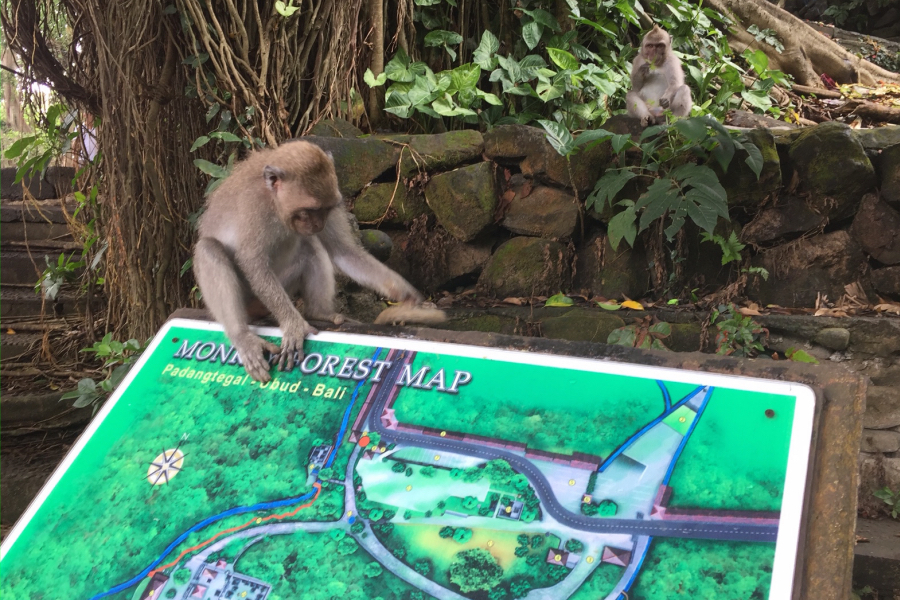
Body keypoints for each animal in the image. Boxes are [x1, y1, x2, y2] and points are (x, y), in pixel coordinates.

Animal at [193, 140, 445, 383]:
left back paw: (317, 312)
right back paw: (242, 336)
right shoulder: (254, 207)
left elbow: (343, 251)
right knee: (209, 249)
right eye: (309, 210)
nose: (318, 224)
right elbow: (252, 263)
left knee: (310, 245)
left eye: (326, 209)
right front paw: (292, 325)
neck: (276, 203)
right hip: (250, 300)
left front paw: (408, 296)